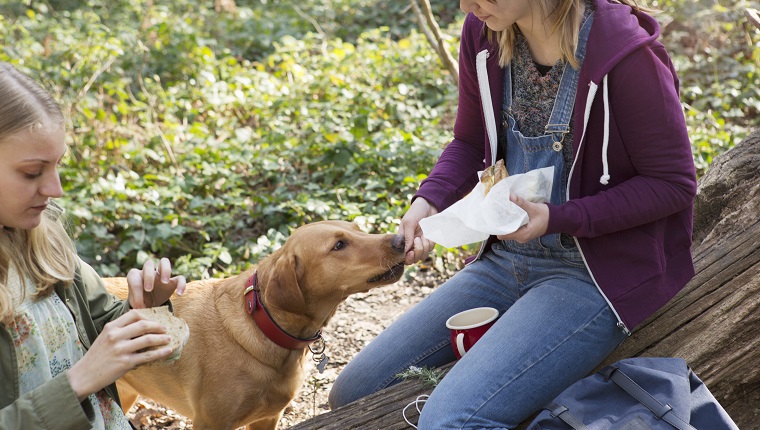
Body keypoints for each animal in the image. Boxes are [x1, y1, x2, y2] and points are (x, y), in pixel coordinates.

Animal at [105, 222, 410, 430]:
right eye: (338, 246)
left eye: (357, 229)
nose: (401, 240)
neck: (264, 326)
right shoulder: (210, 423)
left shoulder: (267, 418)